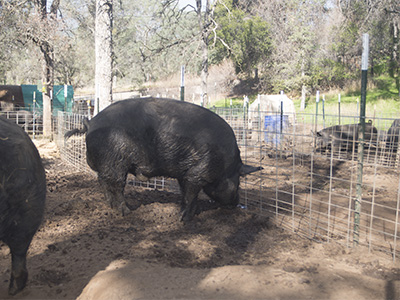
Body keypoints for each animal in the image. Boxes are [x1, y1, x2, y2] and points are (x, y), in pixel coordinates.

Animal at [65, 97, 262, 221]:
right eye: (238, 182)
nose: (236, 203)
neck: (226, 164)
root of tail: (90, 123)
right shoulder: (197, 172)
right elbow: (191, 194)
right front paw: (183, 219)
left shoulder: (185, 174)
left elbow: (186, 194)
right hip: (116, 161)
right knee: (115, 185)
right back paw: (126, 212)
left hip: (107, 165)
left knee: (102, 181)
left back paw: (112, 207)